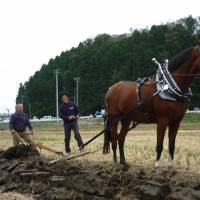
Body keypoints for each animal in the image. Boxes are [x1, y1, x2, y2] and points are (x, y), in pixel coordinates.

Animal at [104, 37, 200, 172]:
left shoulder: (176, 122)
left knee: (120, 138)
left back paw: (124, 162)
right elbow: (159, 145)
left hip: (126, 119)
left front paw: (171, 168)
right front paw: (157, 167)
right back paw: (115, 163)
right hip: (114, 118)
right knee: (113, 140)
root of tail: (110, 89)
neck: (170, 87)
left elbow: (172, 145)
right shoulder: (162, 120)